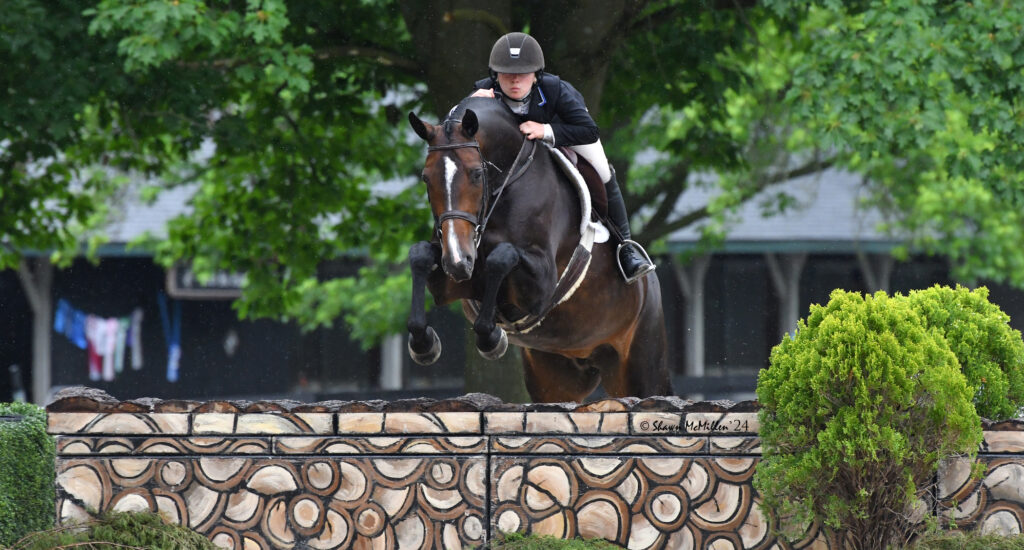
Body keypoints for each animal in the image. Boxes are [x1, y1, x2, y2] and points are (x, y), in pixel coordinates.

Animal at [403, 96, 675, 401]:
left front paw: (491, 338)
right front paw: (423, 343)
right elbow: (419, 255)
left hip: (642, 363)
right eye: (426, 178)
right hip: (555, 378)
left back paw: (633, 260)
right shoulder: (449, 274)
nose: (458, 261)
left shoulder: (541, 283)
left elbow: (502, 256)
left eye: (476, 174)